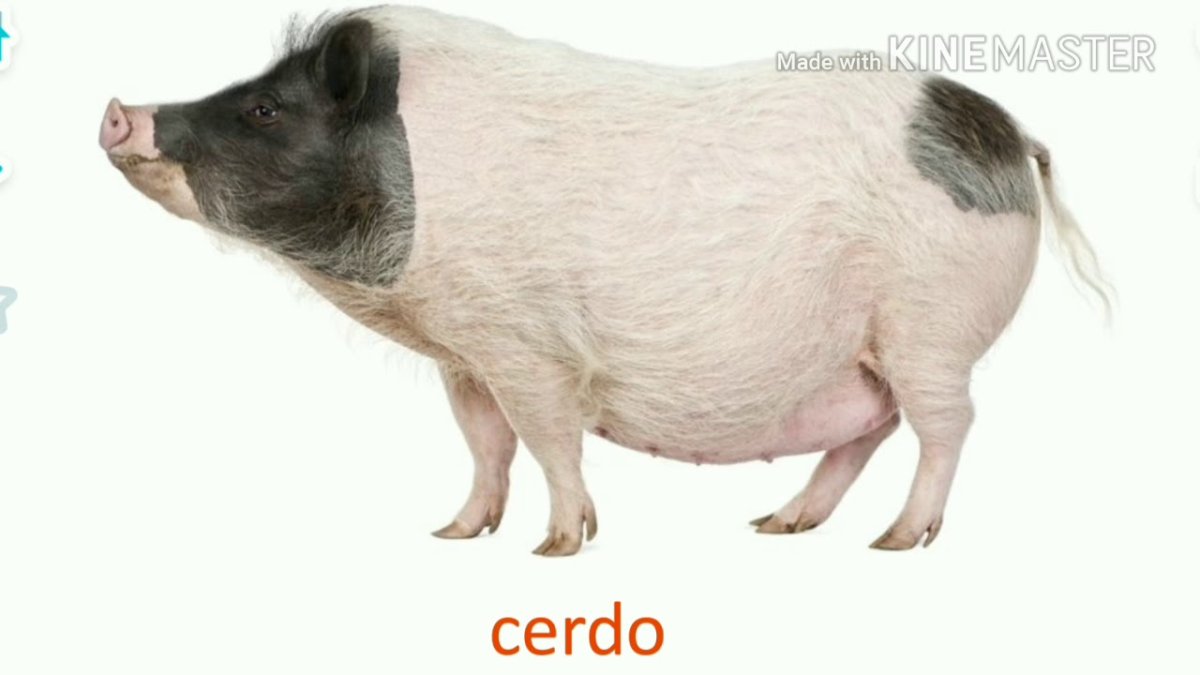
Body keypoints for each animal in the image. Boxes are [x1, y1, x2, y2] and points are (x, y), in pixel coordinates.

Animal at [100, 6, 1111, 556]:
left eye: (266, 109)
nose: (118, 110)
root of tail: (1011, 135)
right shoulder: (466, 352)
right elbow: (486, 445)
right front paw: (454, 533)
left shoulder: (523, 343)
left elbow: (550, 439)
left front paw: (555, 548)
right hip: (864, 353)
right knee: (868, 430)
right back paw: (776, 524)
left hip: (929, 326)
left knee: (946, 427)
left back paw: (896, 541)